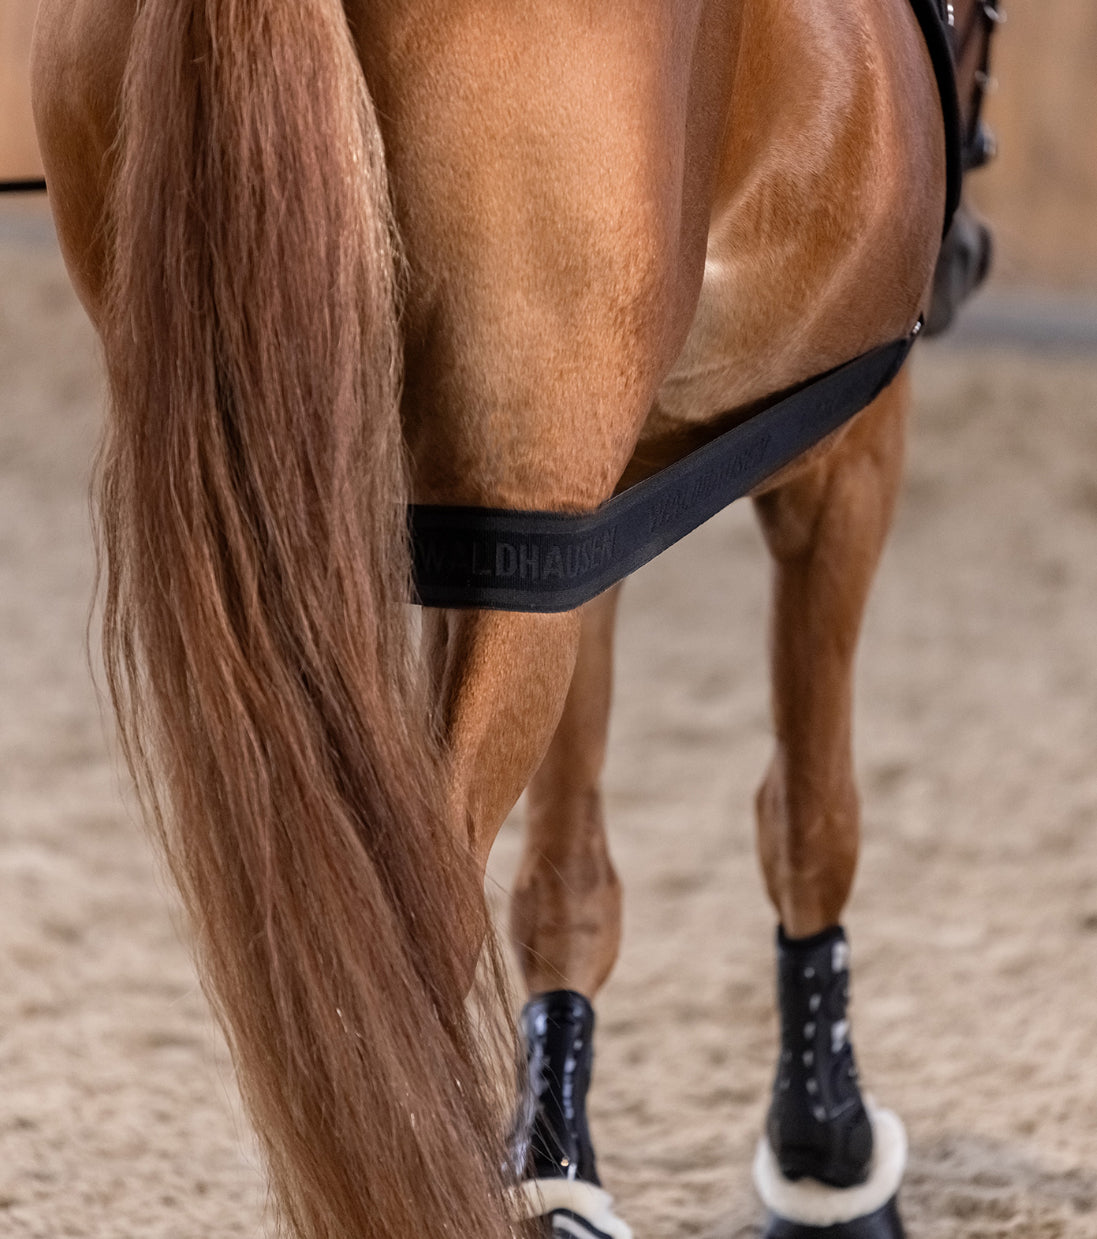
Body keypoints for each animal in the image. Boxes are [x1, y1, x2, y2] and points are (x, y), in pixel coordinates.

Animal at [28, 1, 995, 1237]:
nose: (965, 258)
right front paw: (827, 1157)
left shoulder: (574, 532)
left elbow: (563, 871)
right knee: (403, 939)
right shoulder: (843, 459)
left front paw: (558, 1160)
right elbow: (811, 815)